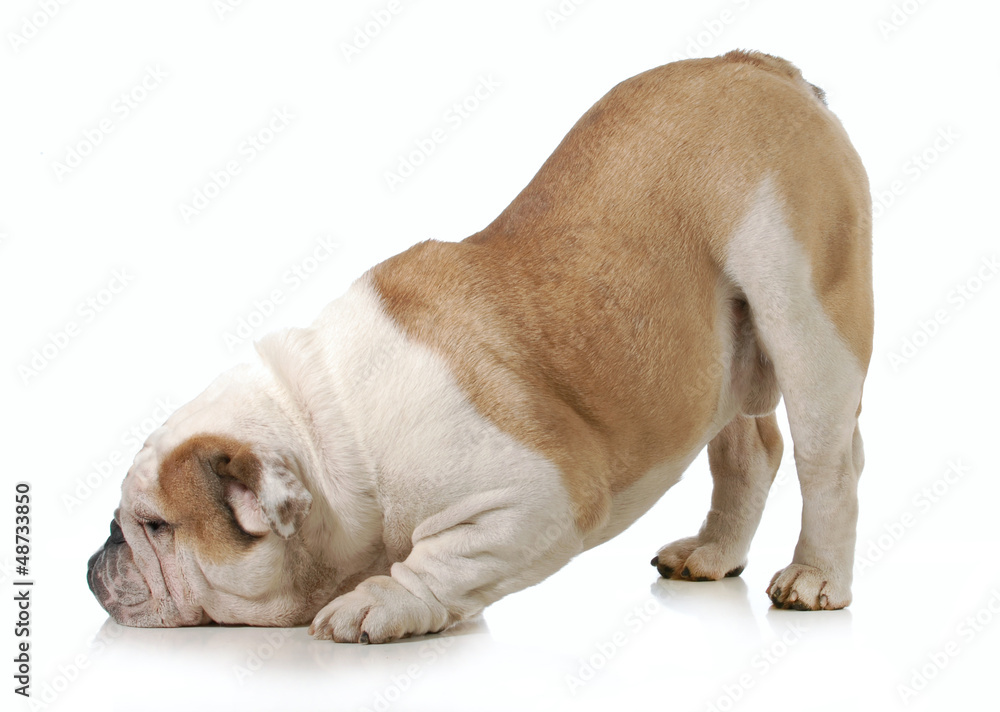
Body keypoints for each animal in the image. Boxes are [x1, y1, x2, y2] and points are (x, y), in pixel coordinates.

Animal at [88, 50, 872, 642]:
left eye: (156, 525)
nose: (101, 554)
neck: (332, 434)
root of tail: (759, 66)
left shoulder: (538, 499)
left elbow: (440, 559)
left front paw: (377, 602)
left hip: (805, 313)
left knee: (828, 460)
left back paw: (815, 578)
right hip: (721, 356)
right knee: (750, 450)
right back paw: (712, 554)